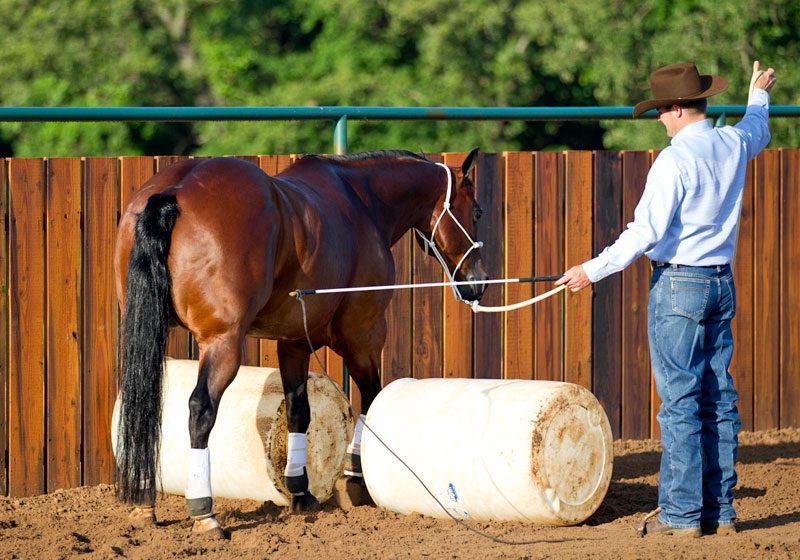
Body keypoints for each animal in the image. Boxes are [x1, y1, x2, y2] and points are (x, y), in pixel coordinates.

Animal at [112, 148, 488, 540]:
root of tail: (175, 192)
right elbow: (370, 399)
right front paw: (354, 474)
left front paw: (300, 491)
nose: (477, 282)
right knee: (200, 410)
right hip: (223, 344)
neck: (361, 202)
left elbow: (298, 411)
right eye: (477, 211)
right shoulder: (363, 335)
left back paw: (144, 503)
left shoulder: (293, 343)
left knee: (145, 401)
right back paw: (204, 510)